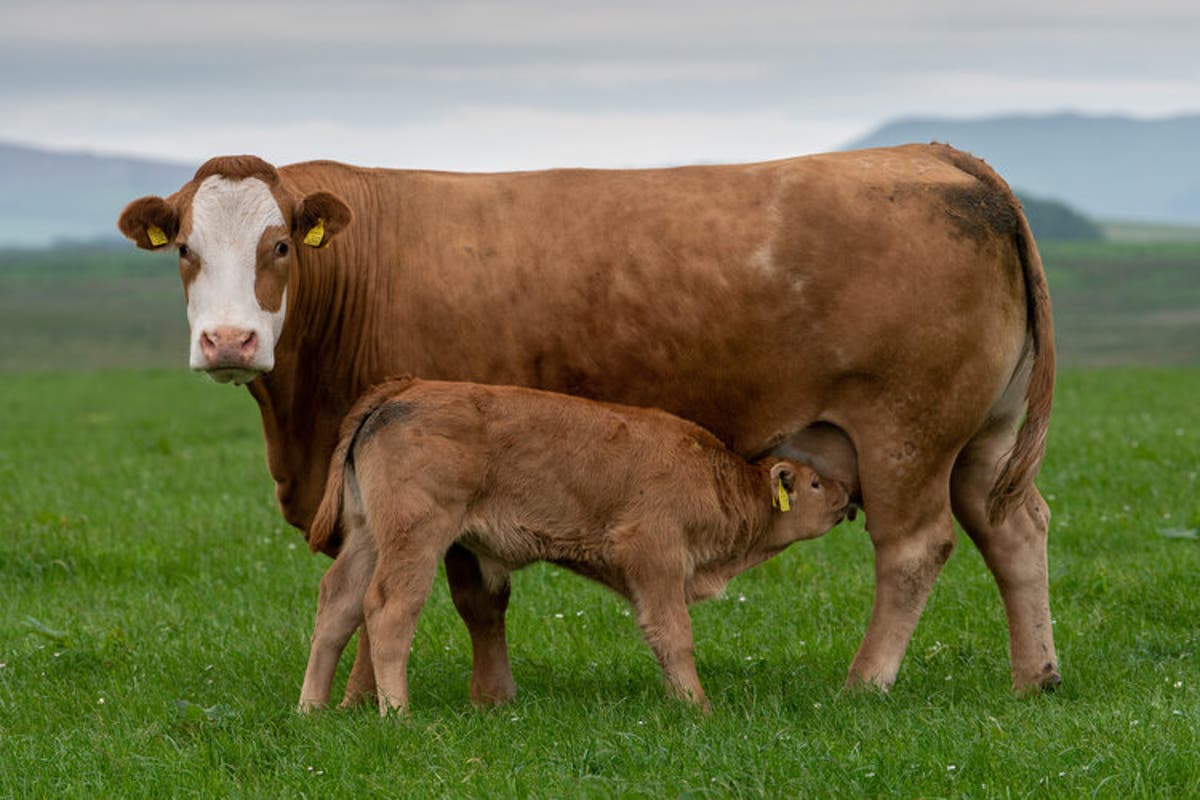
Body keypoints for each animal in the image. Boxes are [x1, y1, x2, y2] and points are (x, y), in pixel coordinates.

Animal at [296, 379, 859, 714]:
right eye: (813, 483)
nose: (847, 496)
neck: (715, 479)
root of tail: (403, 390)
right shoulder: (654, 557)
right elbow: (673, 634)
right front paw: (697, 706)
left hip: (368, 536)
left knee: (339, 604)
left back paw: (312, 709)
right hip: (416, 538)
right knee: (390, 609)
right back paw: (398, 714)